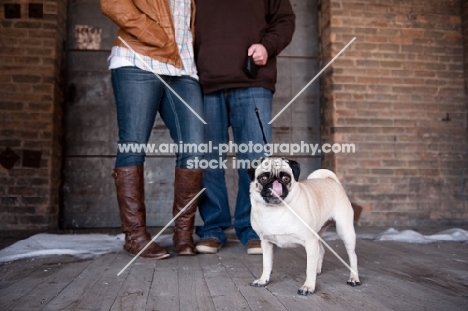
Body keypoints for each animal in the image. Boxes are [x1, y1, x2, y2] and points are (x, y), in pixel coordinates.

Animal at [247, 157, 360, 296]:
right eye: (263, 178)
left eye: (286, 178)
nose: (275, 182)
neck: (275, 209)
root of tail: (331, 180)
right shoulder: (266, 242)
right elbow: (266, 264)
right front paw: (263, 280)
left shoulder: (310, 242)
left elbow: (309, 268)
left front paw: (308, 286)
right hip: (318, 233)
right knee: (321, 251)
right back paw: (318, 270)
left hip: (344, 230)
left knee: (352, 256)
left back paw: (354, 278)